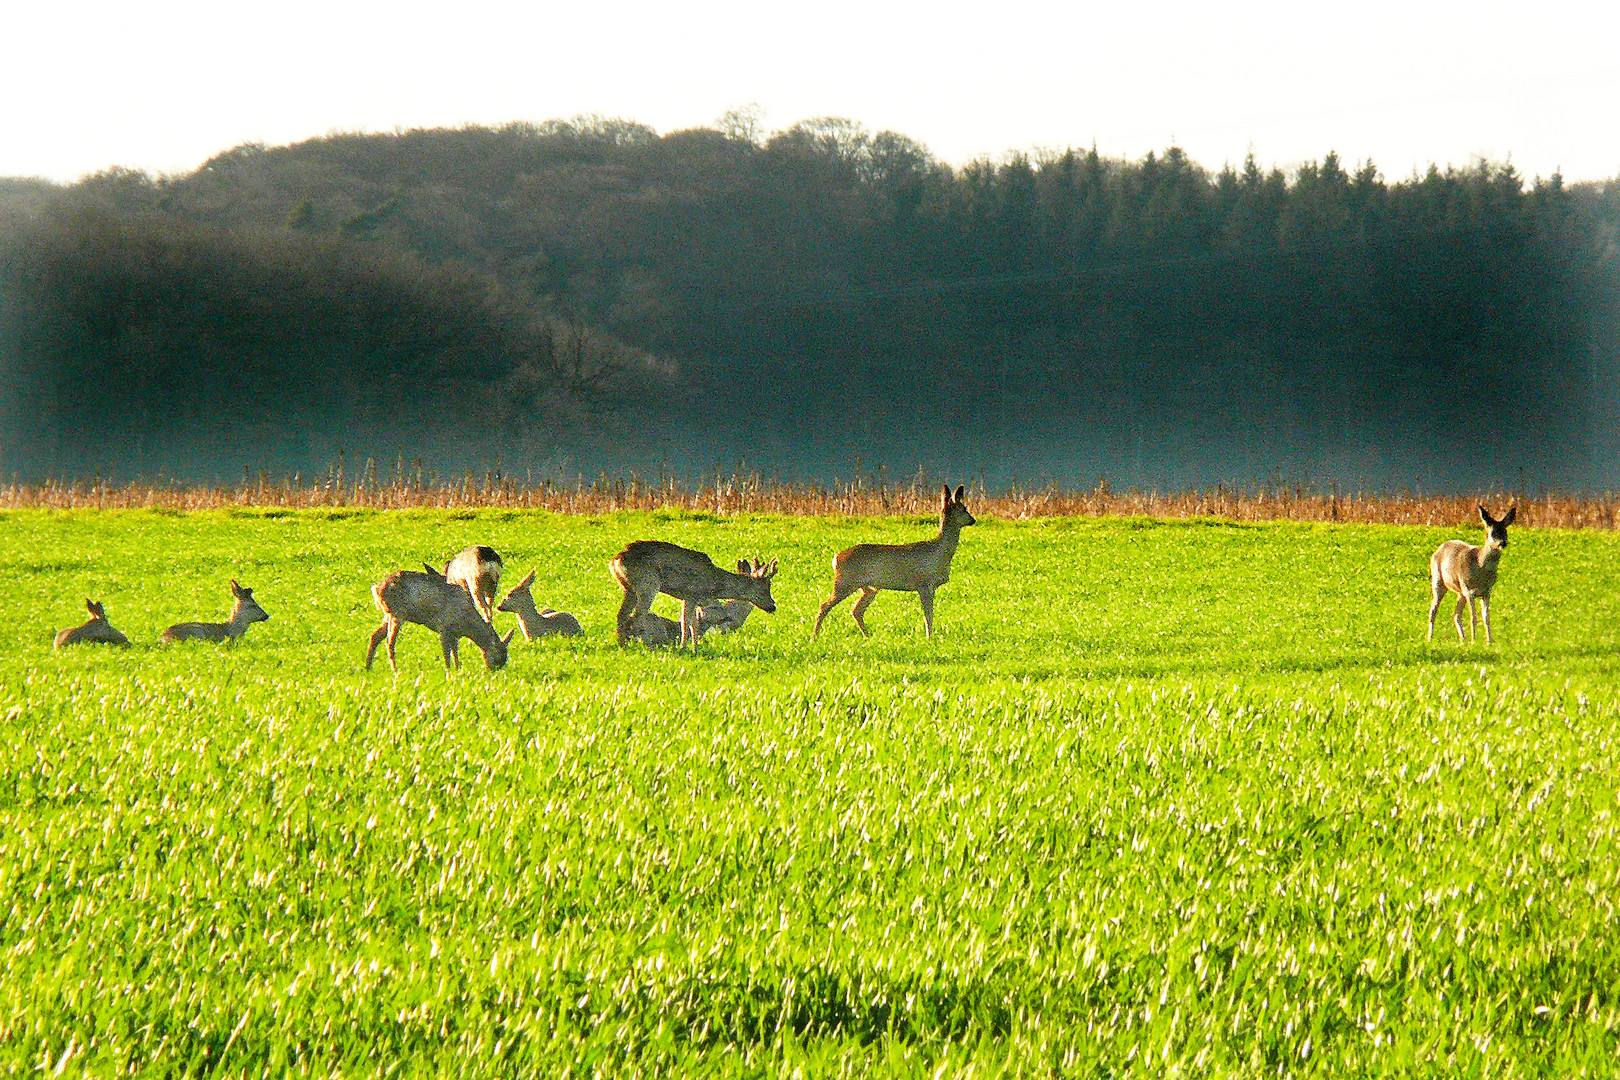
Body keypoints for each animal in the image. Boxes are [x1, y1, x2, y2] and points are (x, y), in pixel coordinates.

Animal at [369, 569, 515, 670]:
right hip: (397, 614)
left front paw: (458, 669)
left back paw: (368, 667)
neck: (466, 622)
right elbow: (446, 653)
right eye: (497, 657)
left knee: (375, 636)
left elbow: (455, 651)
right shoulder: (444, 627)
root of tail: (376, 589)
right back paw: (395, 670)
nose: (492, 671)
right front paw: (449, 671)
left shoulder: (454, 634)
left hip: (389, 614)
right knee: (389, 643)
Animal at [609, 540, 780, 650]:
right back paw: (640, 645)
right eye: (765, 588)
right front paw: (683, 647)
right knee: (635, 617)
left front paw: (694, 648)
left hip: (629, 588)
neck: (715, 583)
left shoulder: (690, 598)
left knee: (622, 614)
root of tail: (615, 560)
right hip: (648, 585)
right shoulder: (691, 593)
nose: (773, 606)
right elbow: (686, 622)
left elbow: (693, 623)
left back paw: (621, 644)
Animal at [810, 482, 972, 641]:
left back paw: (867, 636)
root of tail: (835, 558)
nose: (973, 520)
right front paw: (929, 638)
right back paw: (815, 637)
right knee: (824, 605)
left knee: (856, 610)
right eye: (964, 509)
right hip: (845, 582)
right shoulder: (924, 584)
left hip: (869, 588)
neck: (940, 552)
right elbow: (928, 615)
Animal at [1432, 505, 1516, 647]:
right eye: (1492, 533)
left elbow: (1486, 617)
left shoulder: (1487, 592)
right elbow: (1473, 617)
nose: (1502, 543)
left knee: (1456, 614)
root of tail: (1440, 548)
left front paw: (1489, 641)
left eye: (1505, 531)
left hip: (1460, 592)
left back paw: (1463, 639)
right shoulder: (1469, 590)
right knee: (1433, 610)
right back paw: (1430, 638)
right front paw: (1474, 640)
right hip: (1439, 581)